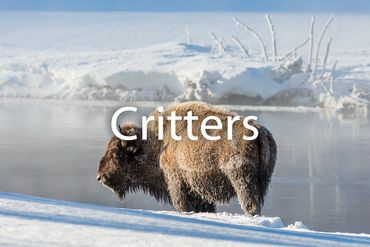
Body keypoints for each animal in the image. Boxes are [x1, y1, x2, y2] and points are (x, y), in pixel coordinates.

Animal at [97, 101, 276, 215]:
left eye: (116, 153)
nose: (100, 176)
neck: (157, 141)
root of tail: (259, 131)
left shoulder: (176, 182)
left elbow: (182, 205)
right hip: (262, 182)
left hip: (241, 179)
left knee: (250, 205)